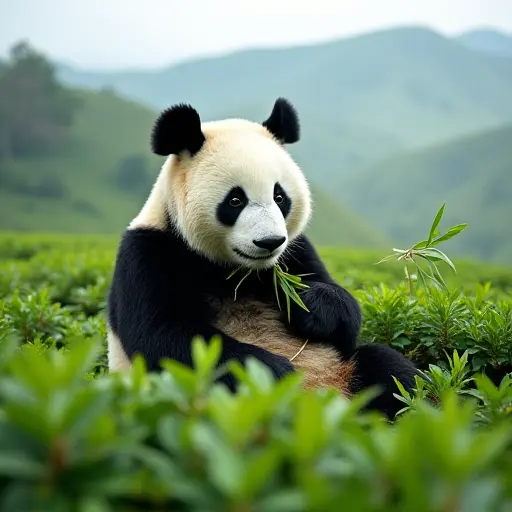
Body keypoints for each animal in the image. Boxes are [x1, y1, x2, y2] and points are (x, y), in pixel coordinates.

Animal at [105, 96, 420, 420]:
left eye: (280, 197)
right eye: (235, 200)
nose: (270, 242)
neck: (236, 271)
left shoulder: (297, 251)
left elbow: (343, 321)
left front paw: (308, 304)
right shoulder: (148, 253)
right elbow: (166, 337)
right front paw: (272, 373)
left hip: (345, 372)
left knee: (388, 369)